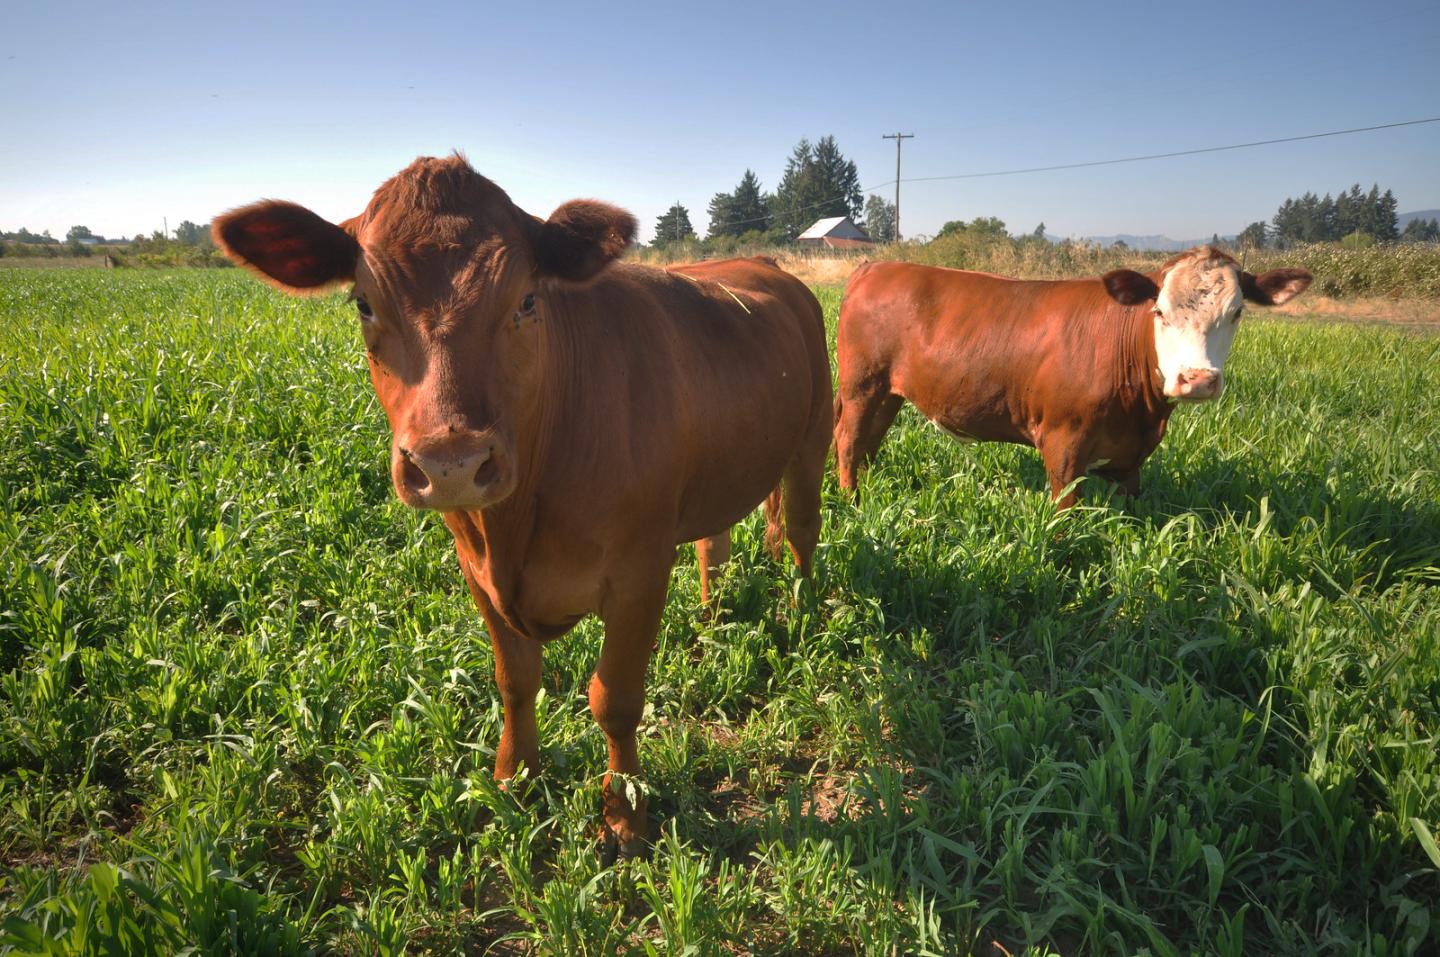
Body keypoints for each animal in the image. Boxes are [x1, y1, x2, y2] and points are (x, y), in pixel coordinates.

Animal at [218, 153, 840, 851]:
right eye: (363, 304)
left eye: (526, 299)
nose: (451, 463)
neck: (516, 525)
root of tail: (765, 265)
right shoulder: (477, 570)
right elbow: (515, 681)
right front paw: (513, 780)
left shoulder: (640, 570)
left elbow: (614, 698)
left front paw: (624, 812)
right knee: (716, 542)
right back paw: (710, 621)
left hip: (813, 435)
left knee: (802, 531)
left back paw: (804, 611)